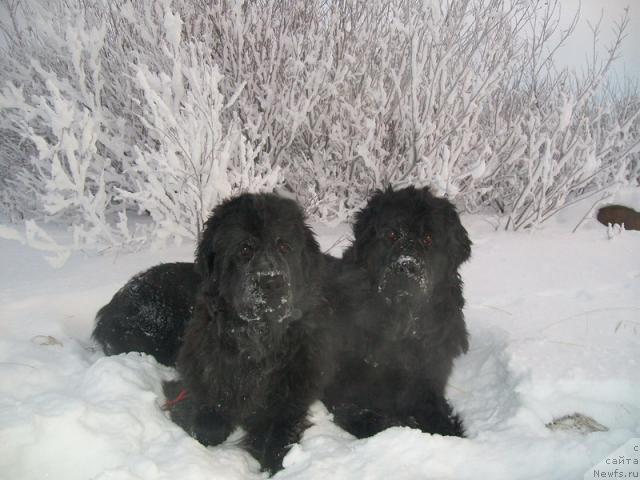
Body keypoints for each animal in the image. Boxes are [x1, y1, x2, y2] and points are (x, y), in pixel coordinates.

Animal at [324, 187, 470, 438]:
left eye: (428, 238)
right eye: (392, 235)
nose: (406, 266)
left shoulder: (428, 381)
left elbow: (438, 414)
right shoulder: (343, 389)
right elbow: (366, 416)